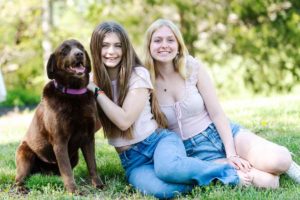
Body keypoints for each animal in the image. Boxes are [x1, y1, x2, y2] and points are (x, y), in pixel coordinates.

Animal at [15, 39, 104, 194]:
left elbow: (92, 165)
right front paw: (73, 191)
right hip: (25, 155)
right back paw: (21, 188)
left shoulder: (88, 138)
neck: (73, 94)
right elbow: (66, 170)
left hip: (74, 157)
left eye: (80, 47)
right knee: (17, 179)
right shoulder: (60, 141)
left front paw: (98, 185)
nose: (79, 54)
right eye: (64, 50)